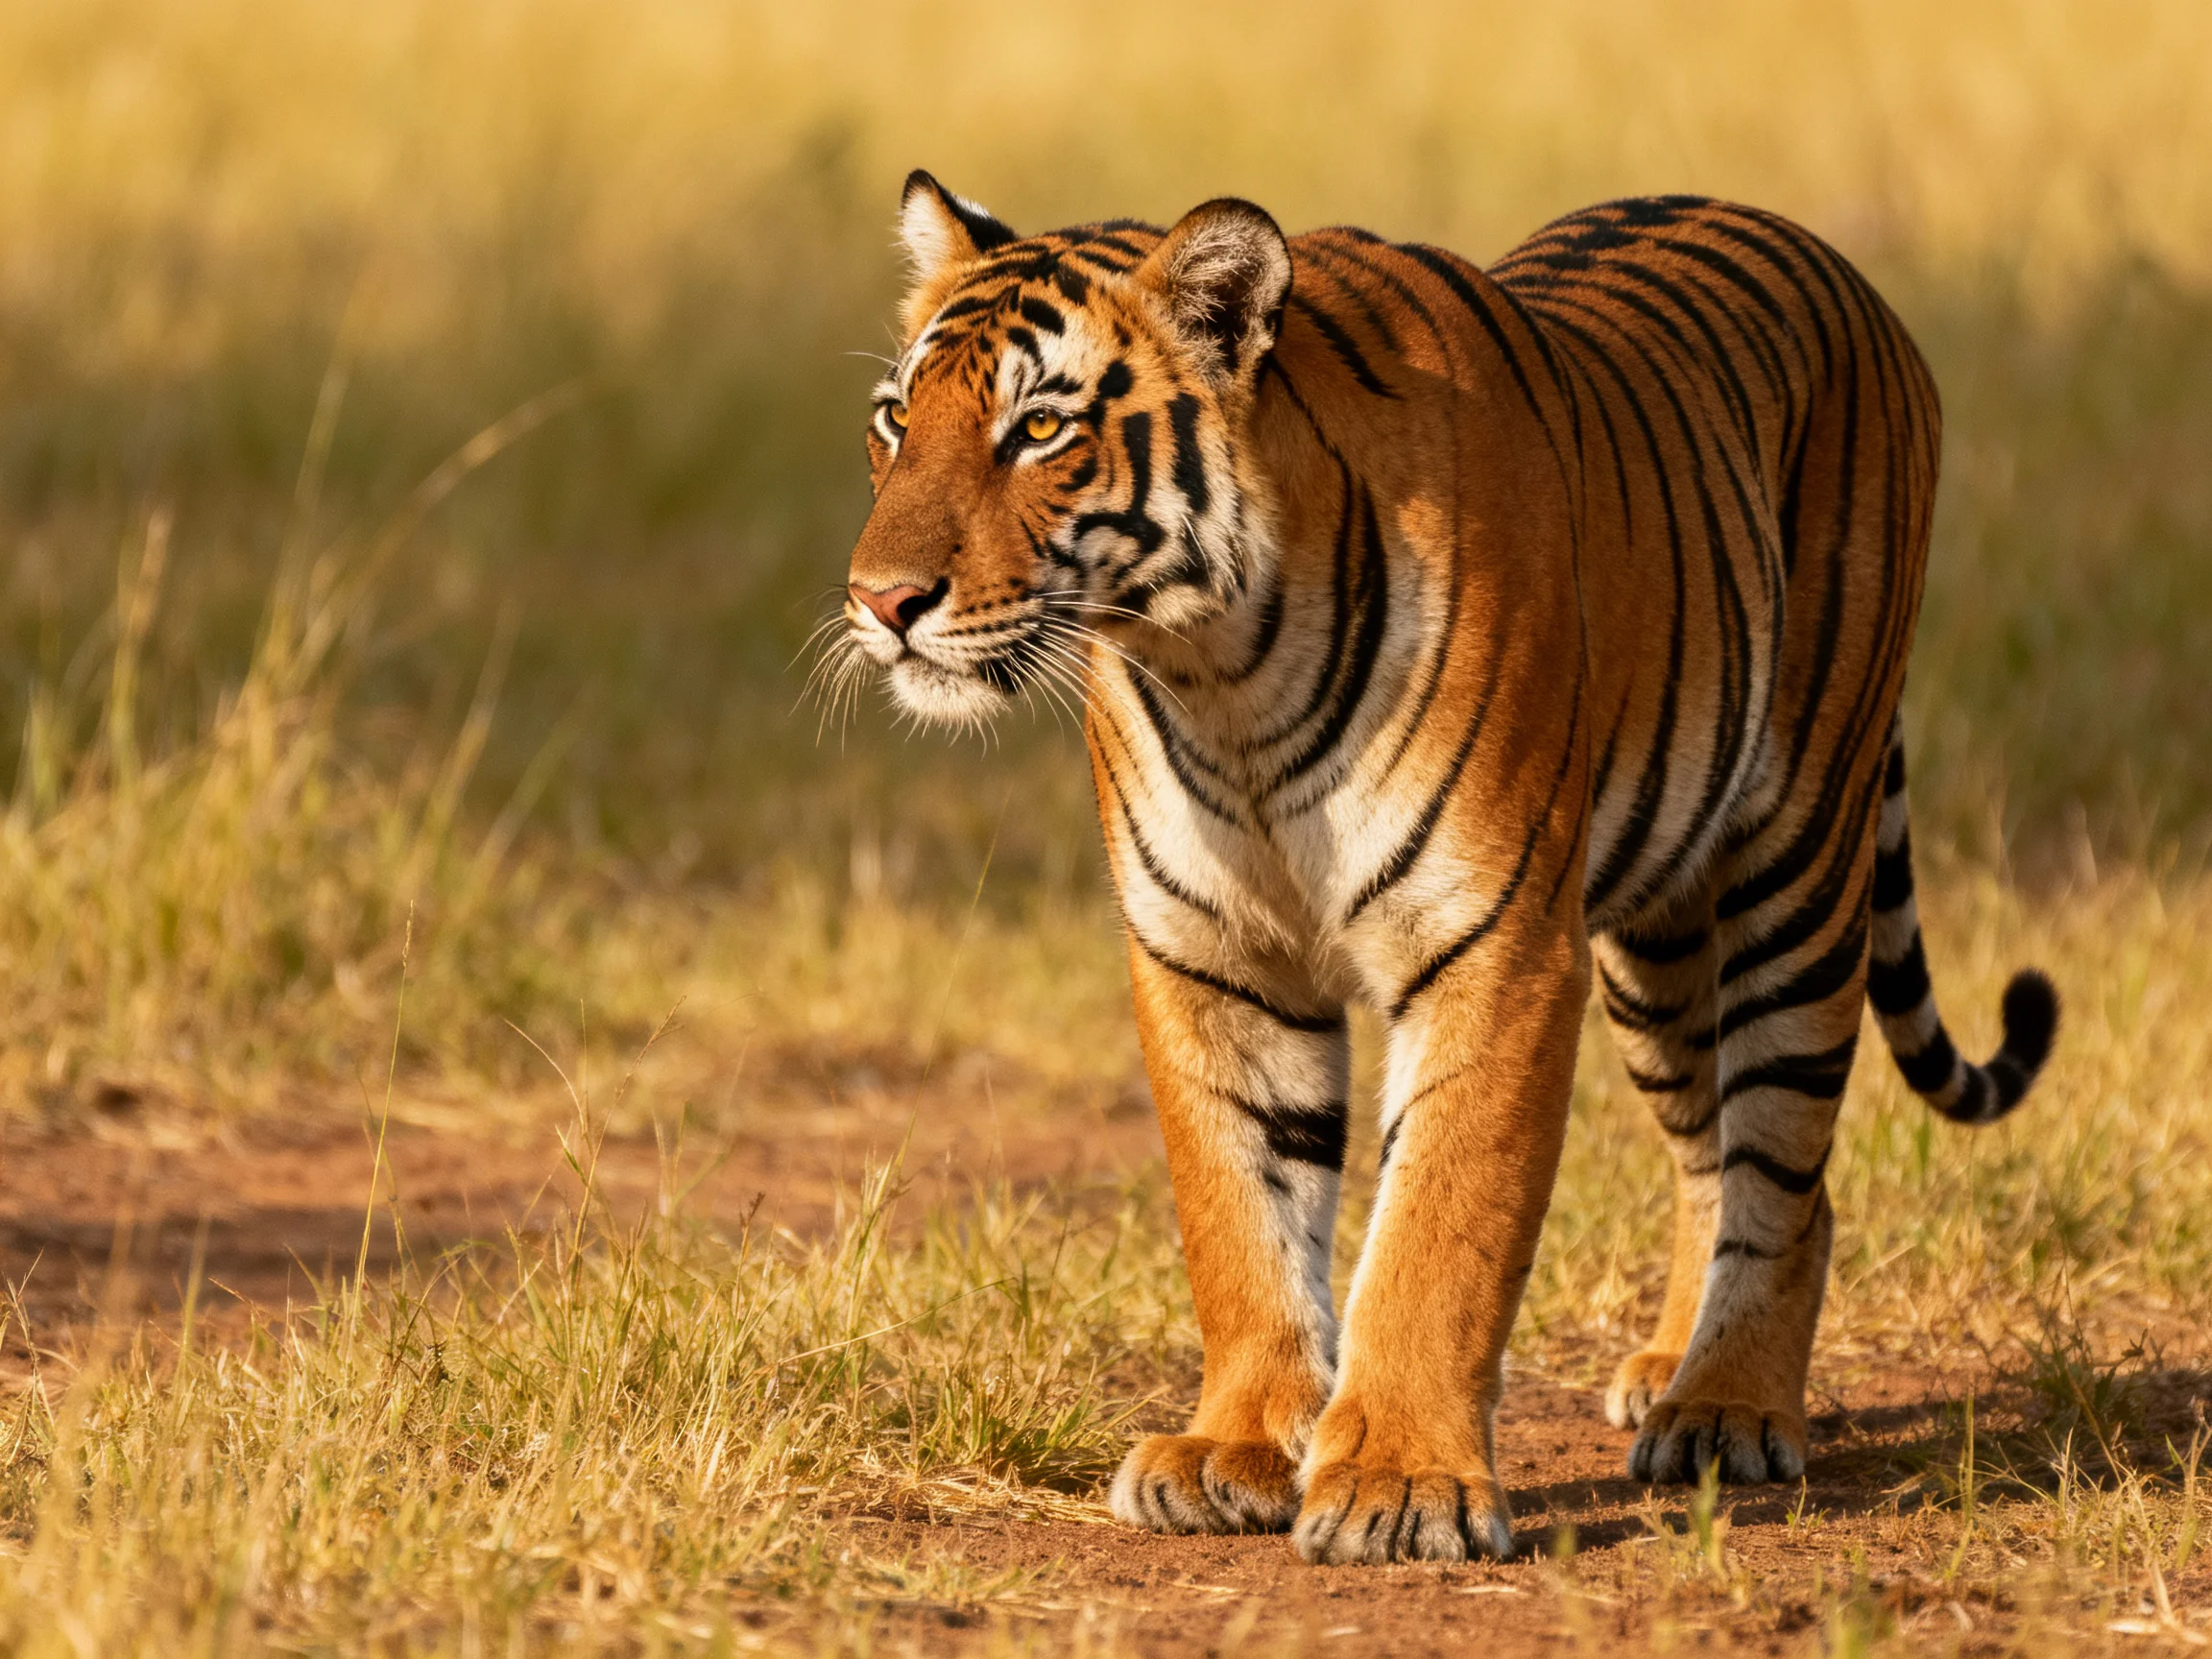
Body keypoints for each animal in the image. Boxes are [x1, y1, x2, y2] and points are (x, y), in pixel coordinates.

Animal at [834, 170, 2058, 1564]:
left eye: (1039, 429)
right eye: (896, 420)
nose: (879, 602)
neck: (1221, 674)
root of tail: (1828, 258)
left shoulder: (1496, 944)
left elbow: (1437, 1229)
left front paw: (1399, 1486)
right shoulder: (1213, 955)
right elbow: (1241, 1210)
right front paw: (1236, 1450)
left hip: (1796, 867)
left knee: (1785, 1163)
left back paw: (1728, 1408)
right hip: (1656, 945)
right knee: (1714, 1149)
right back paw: (1667, 1370)